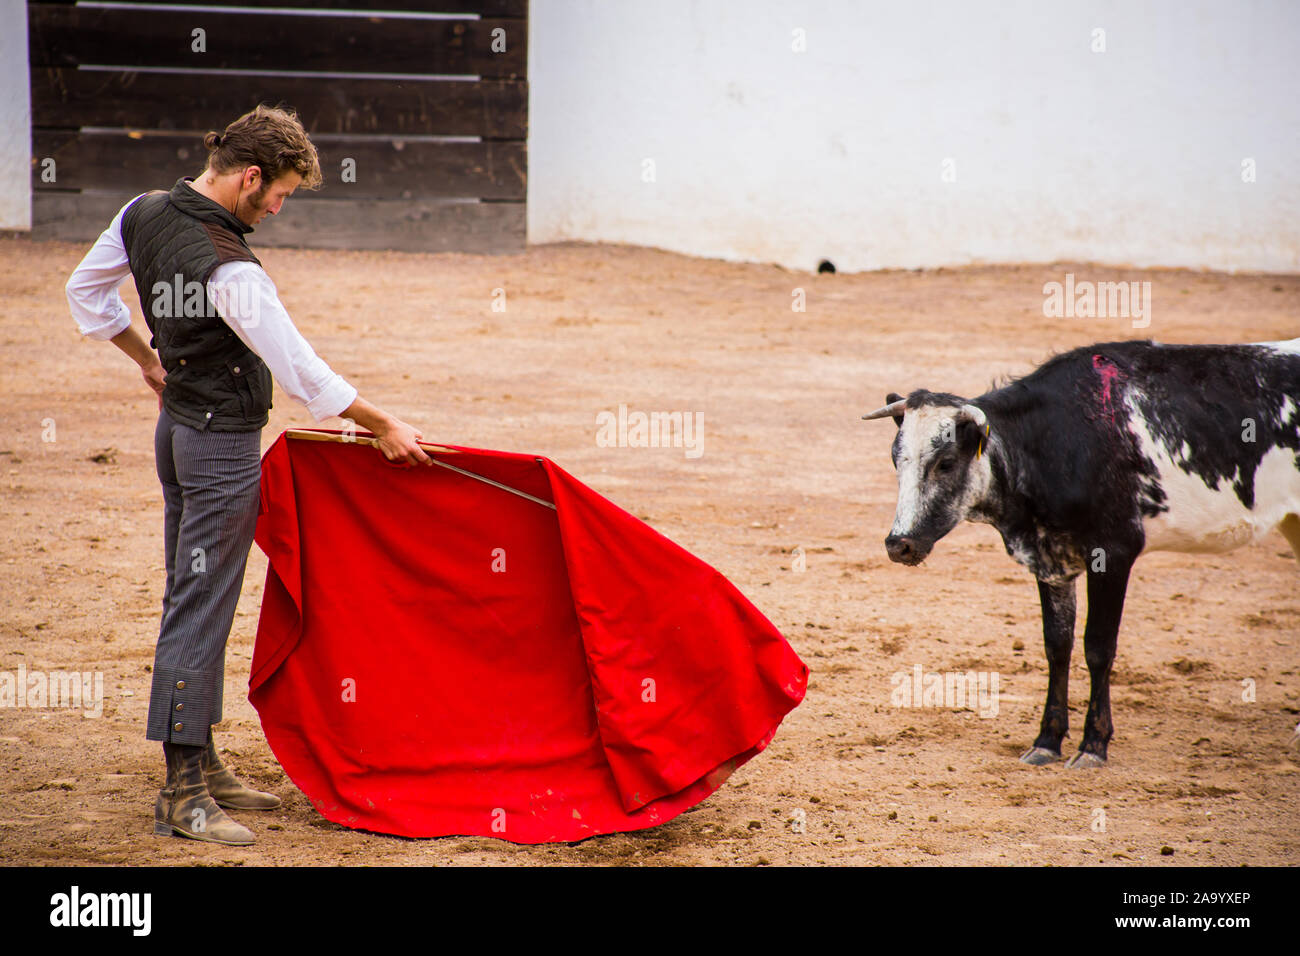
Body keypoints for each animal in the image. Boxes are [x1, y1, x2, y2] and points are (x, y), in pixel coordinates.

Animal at [863, 338, 1300, 768]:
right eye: (896, 461)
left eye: (947, 462)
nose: (899, 544)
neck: (1057, 441)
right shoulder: (1051, 563)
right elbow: (1057, 645)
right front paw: (1047, 740)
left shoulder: (1114, 554)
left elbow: (1098, 646)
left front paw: (1094, 743)